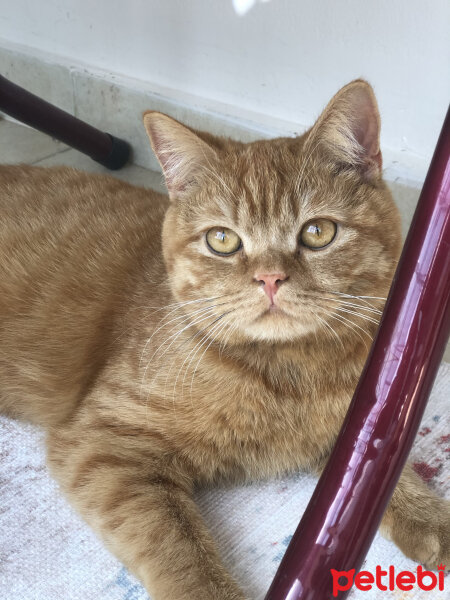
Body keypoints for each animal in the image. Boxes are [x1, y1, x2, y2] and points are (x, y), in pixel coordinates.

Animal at [0, 81, 448, 600]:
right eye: (222, 240)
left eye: (318, 231)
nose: (270, 278)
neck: (290, 374)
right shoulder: (102, 443)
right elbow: (179, 547)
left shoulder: (357, 425)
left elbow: (379, 470)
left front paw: (428, 515)